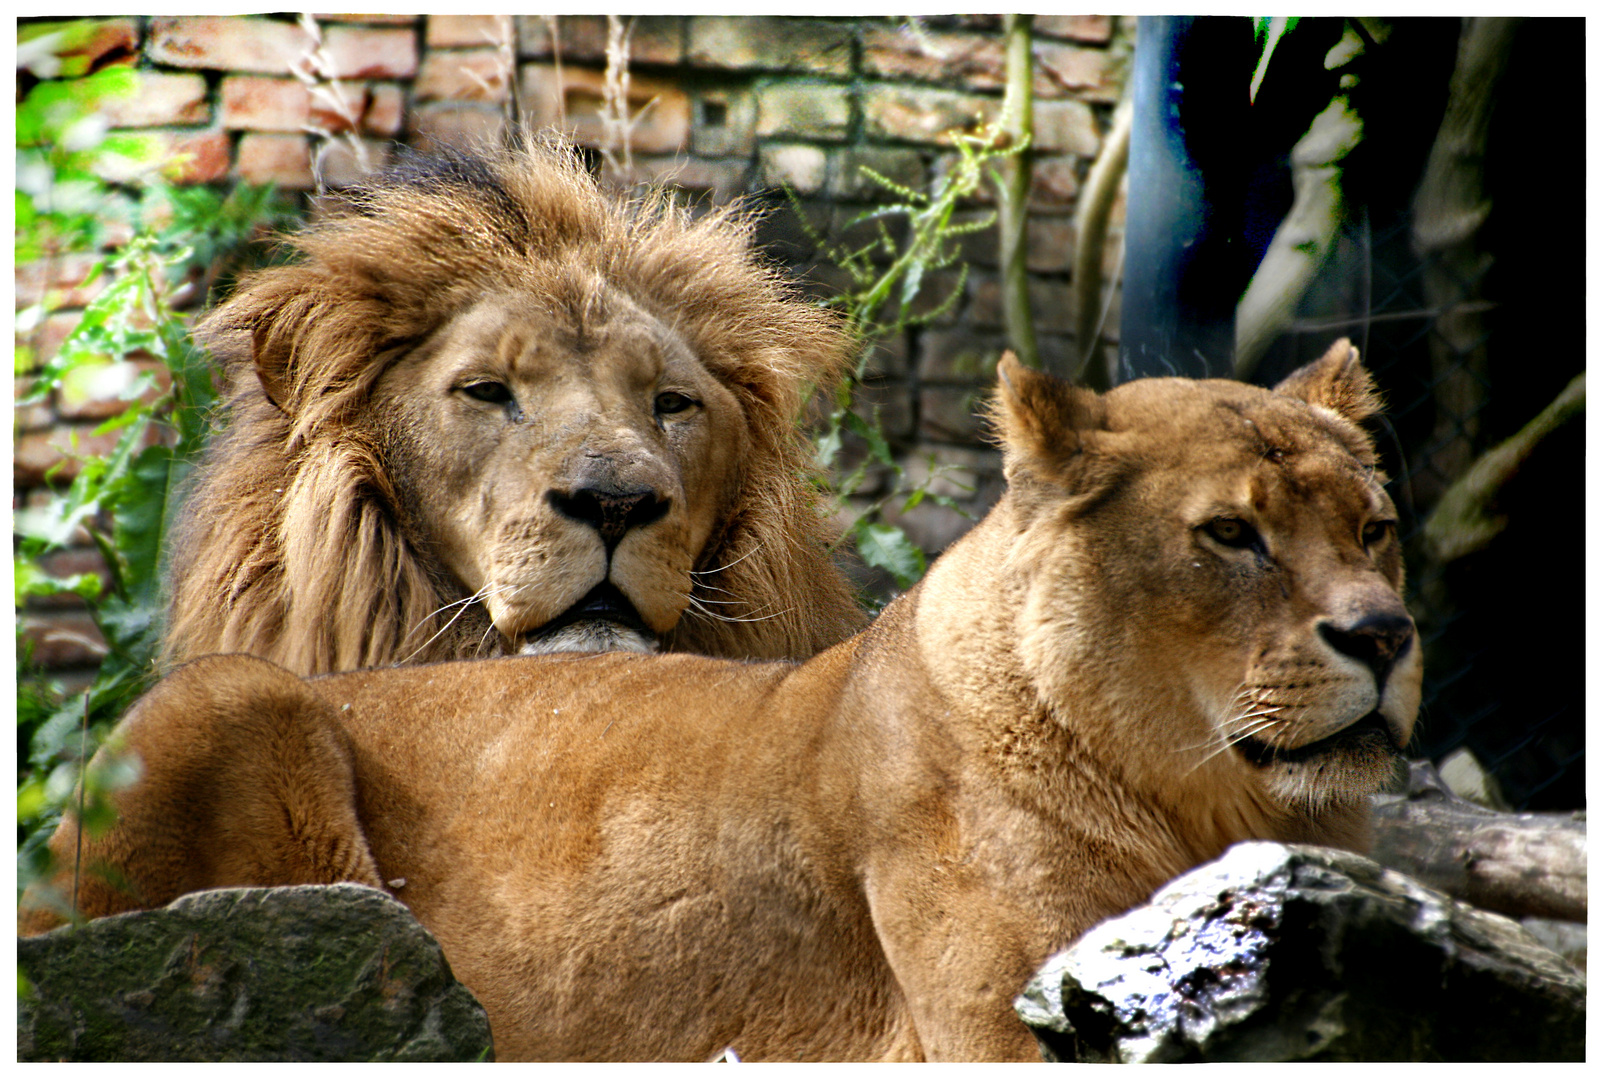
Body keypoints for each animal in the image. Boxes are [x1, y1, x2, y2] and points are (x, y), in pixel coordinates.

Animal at [21, 342, 1417, 1057]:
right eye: (1230, 536)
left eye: (1375, 530)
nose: (1387, 635)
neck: (1213, 805)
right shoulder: (1007, 1020)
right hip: (232, 692)